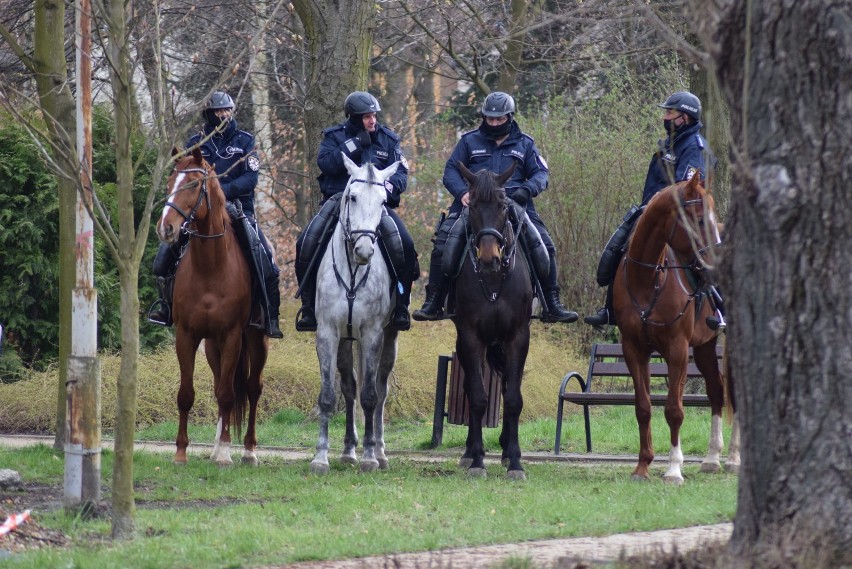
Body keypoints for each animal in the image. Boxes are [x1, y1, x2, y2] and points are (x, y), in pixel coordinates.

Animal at [156, 148, 268, 466]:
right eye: (169, 183)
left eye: (194, 184)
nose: (166, 228)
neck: (210, 267)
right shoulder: (186, 336)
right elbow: (187, 394)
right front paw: (181, 452)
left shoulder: (232, 336)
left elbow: (229, 394)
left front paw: (227, 454)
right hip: (211, 346)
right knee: (220, 384)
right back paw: (218, 445)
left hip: (255, 340)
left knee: (251, 389)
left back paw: (247, 450)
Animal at [452, 161, 532, 480]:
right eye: (471, 205)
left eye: (502, 205)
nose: (488, 259)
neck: (495, 280)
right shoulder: (470, 338)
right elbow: (477, 397)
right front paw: (476, 460)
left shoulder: (518, 338)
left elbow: (513, 399)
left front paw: (515, 462)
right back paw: (469, 452)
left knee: (509, 386)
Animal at [612, 174, 740, 484]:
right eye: (699, 219)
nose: (716, 267)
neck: (649, 279)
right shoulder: (633, 349)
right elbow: (643, 407)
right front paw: (642, 466)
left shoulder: (677, 349)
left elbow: (674, 410)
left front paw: (673, 468)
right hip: (704, 346)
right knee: (717, 390)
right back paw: (711, 459)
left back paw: (733, 458)